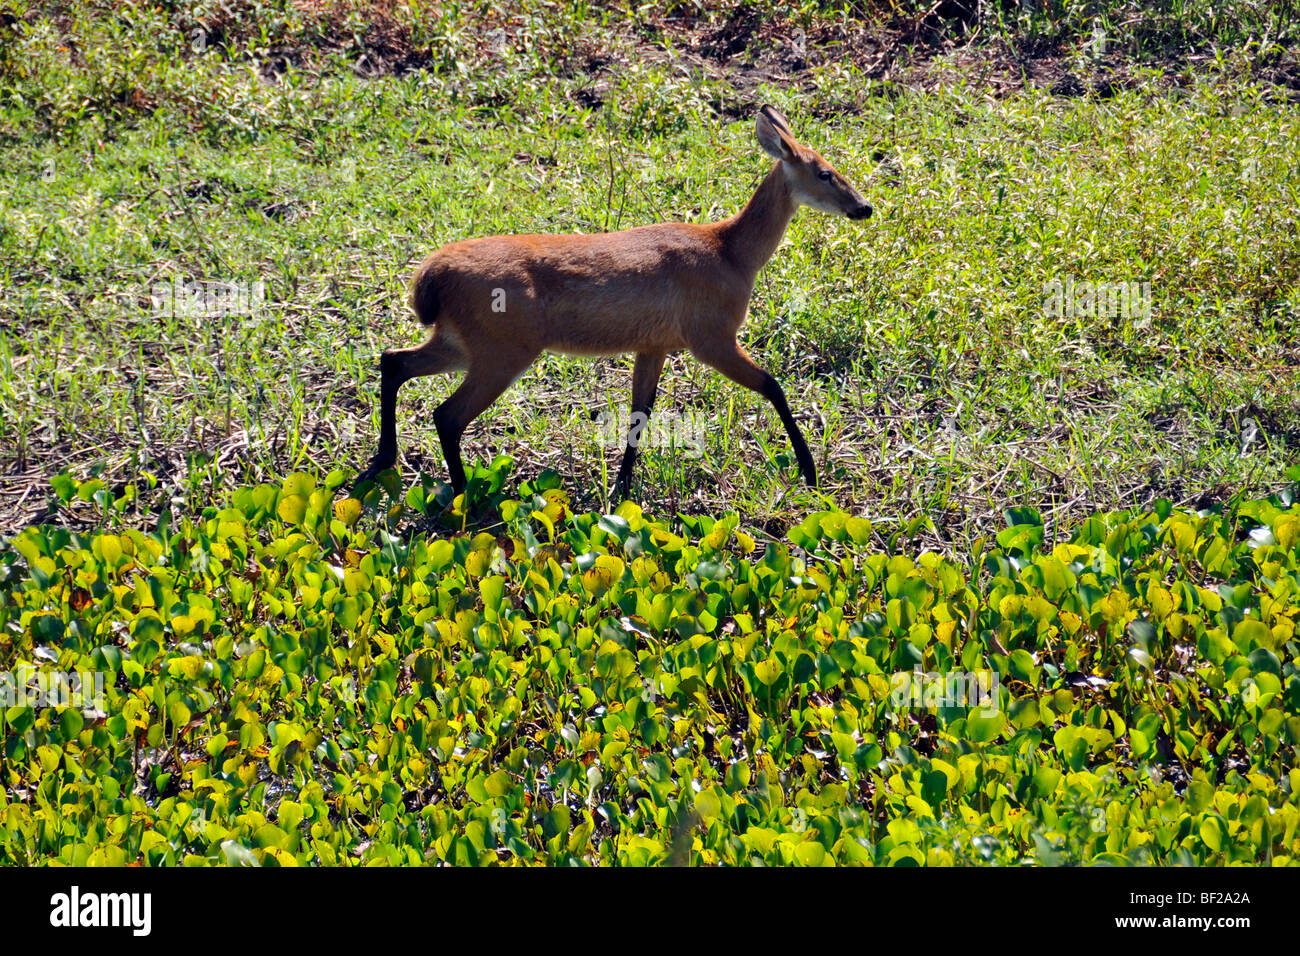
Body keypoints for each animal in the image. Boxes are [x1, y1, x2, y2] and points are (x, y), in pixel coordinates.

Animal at [361, 105, 873, 502]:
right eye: (825, 172)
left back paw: (383, 462)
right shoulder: (711, 336)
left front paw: (622, 490)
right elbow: (773, 385)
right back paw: (462, 494)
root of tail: (429, 277)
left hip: (460, 341)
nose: (864, 207)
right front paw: (809, 471)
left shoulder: (655, 344)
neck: (730, 252)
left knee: (394, 361)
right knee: (446, 414)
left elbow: (638, 416)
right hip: (502, 350)